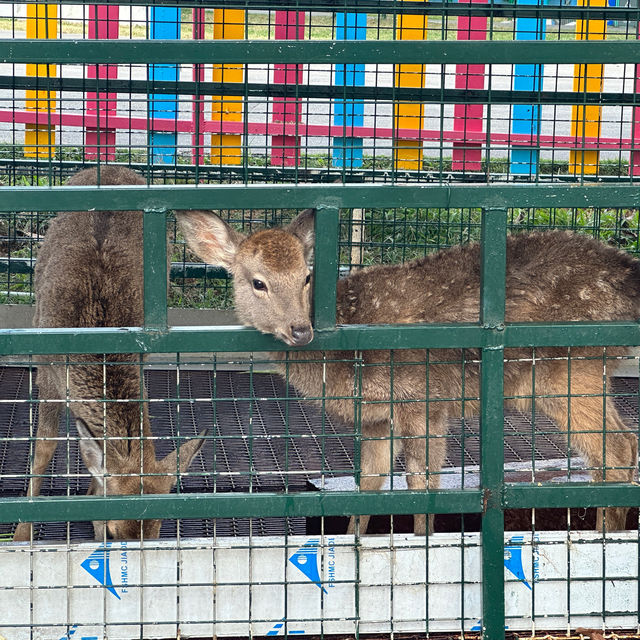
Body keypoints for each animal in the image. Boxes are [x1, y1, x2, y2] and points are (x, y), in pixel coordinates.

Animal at [13, 168, 206, 544]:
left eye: (158, 531)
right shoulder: (45, 367)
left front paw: (91, 498)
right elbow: (44, 446)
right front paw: (20, 535)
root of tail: (111, 168)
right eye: (115, 533)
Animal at [178, 209, 640, 536]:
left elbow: (422, 482)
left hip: (567, 370)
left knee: (615, 450)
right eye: (257, 282)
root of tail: (627, 275)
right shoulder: (378, 417)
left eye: (307, 277)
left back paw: (606, 537)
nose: (300, 329)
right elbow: (370, 483)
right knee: (620, 446)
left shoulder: (422, 396)